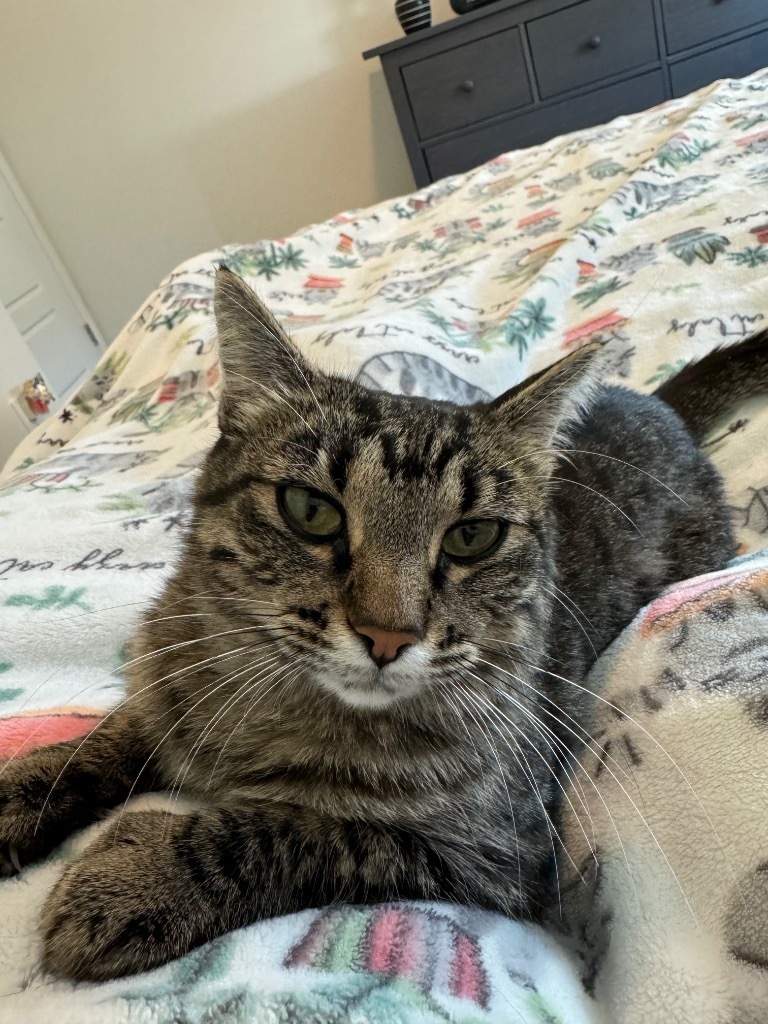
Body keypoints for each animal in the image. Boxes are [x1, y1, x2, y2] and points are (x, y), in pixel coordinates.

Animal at [1, 268, 768, 978]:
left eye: (473, 537)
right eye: (311, 510)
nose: (389, 635)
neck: (274, 701)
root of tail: (655, 401)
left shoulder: (489, 854)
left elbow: (294, 829)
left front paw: (143, 875)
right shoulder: (164, 683)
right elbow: (103, 738)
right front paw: (21, 787)